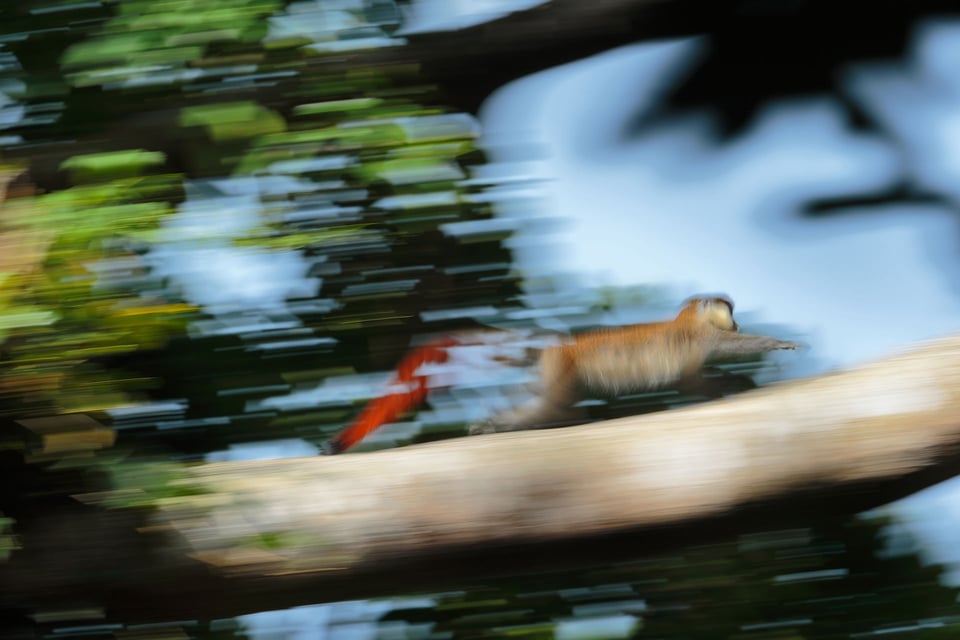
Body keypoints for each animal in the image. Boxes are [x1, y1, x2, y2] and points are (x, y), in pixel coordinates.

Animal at [322, 298, 796, 452]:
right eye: (729, 311)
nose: (736, 319)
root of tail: (557, 347)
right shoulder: (701, 338)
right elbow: (710, 364)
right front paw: (773, 346)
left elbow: (693, 378)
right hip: (564, 370)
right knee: (553, 408)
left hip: (551, 371)